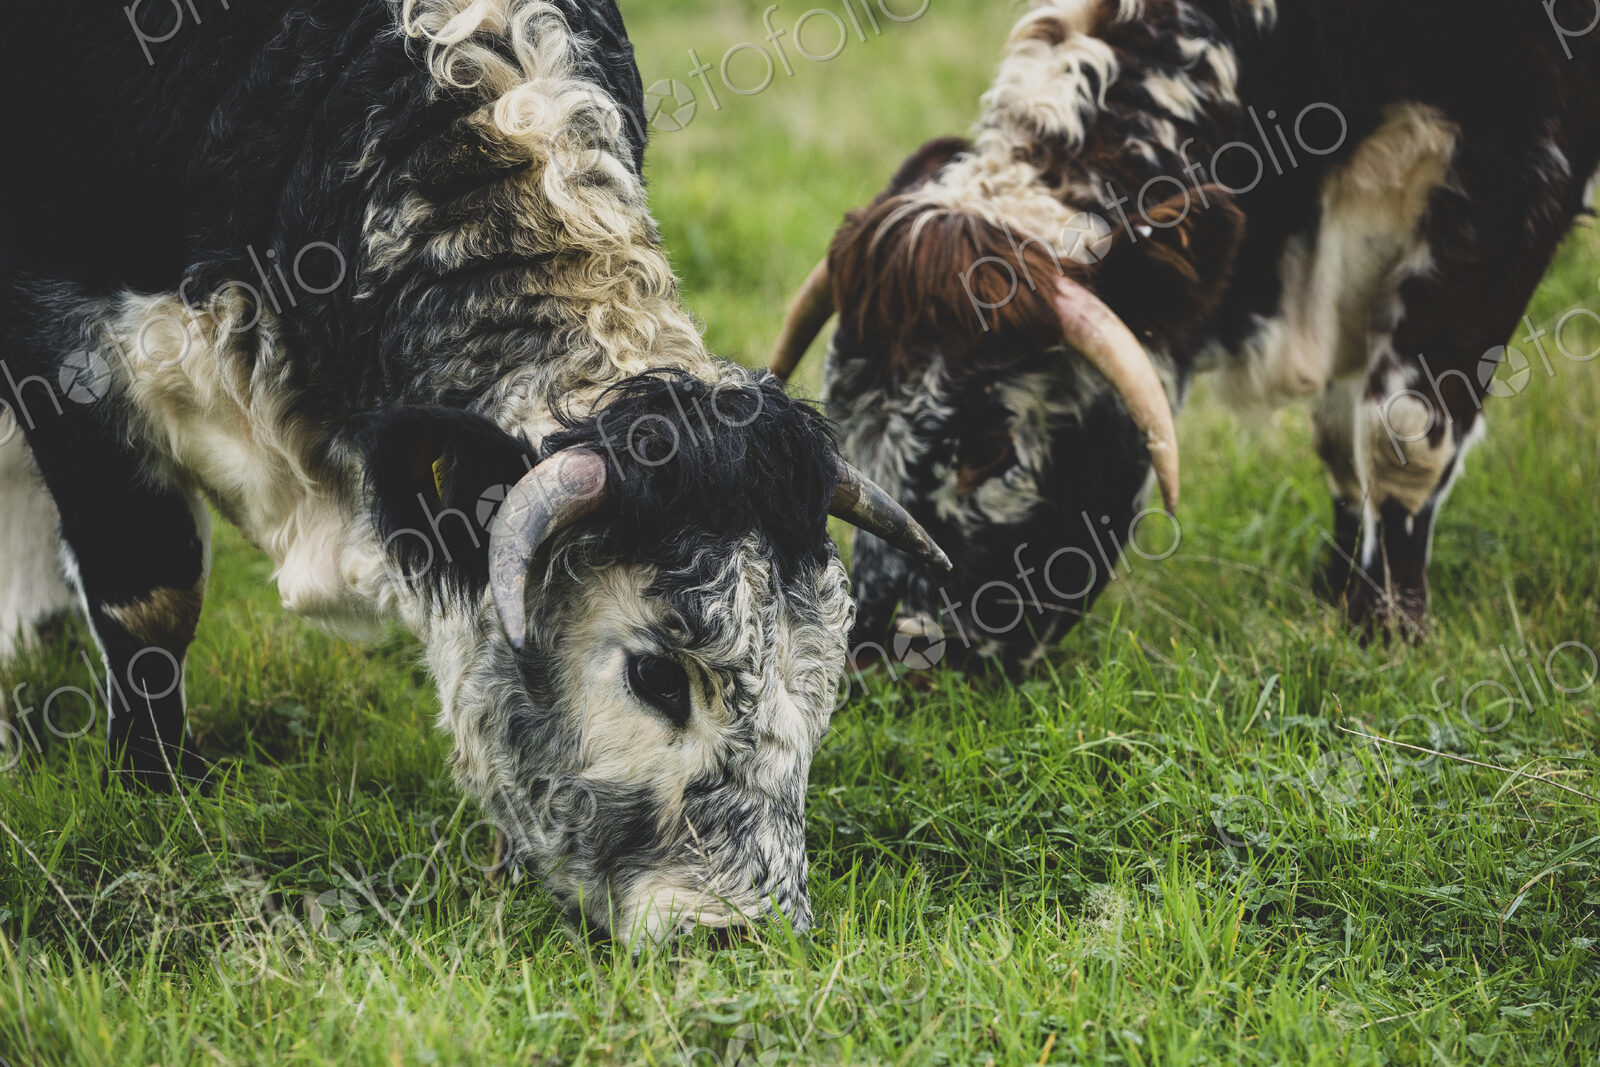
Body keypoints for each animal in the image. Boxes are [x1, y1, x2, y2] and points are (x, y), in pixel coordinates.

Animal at [0, 0, 948, 944]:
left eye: (822, 683)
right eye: (655, 674)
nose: (740, 928)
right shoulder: (65, 351)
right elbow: (151, 597)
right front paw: (157, 790)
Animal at [770, 0, 1600, 674]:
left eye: (988, 448)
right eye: (844, 425)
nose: (878, 656)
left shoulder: (1512, 177)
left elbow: (1400, 431)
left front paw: (1387, 628)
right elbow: (1339, 437)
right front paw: (1335, 590)